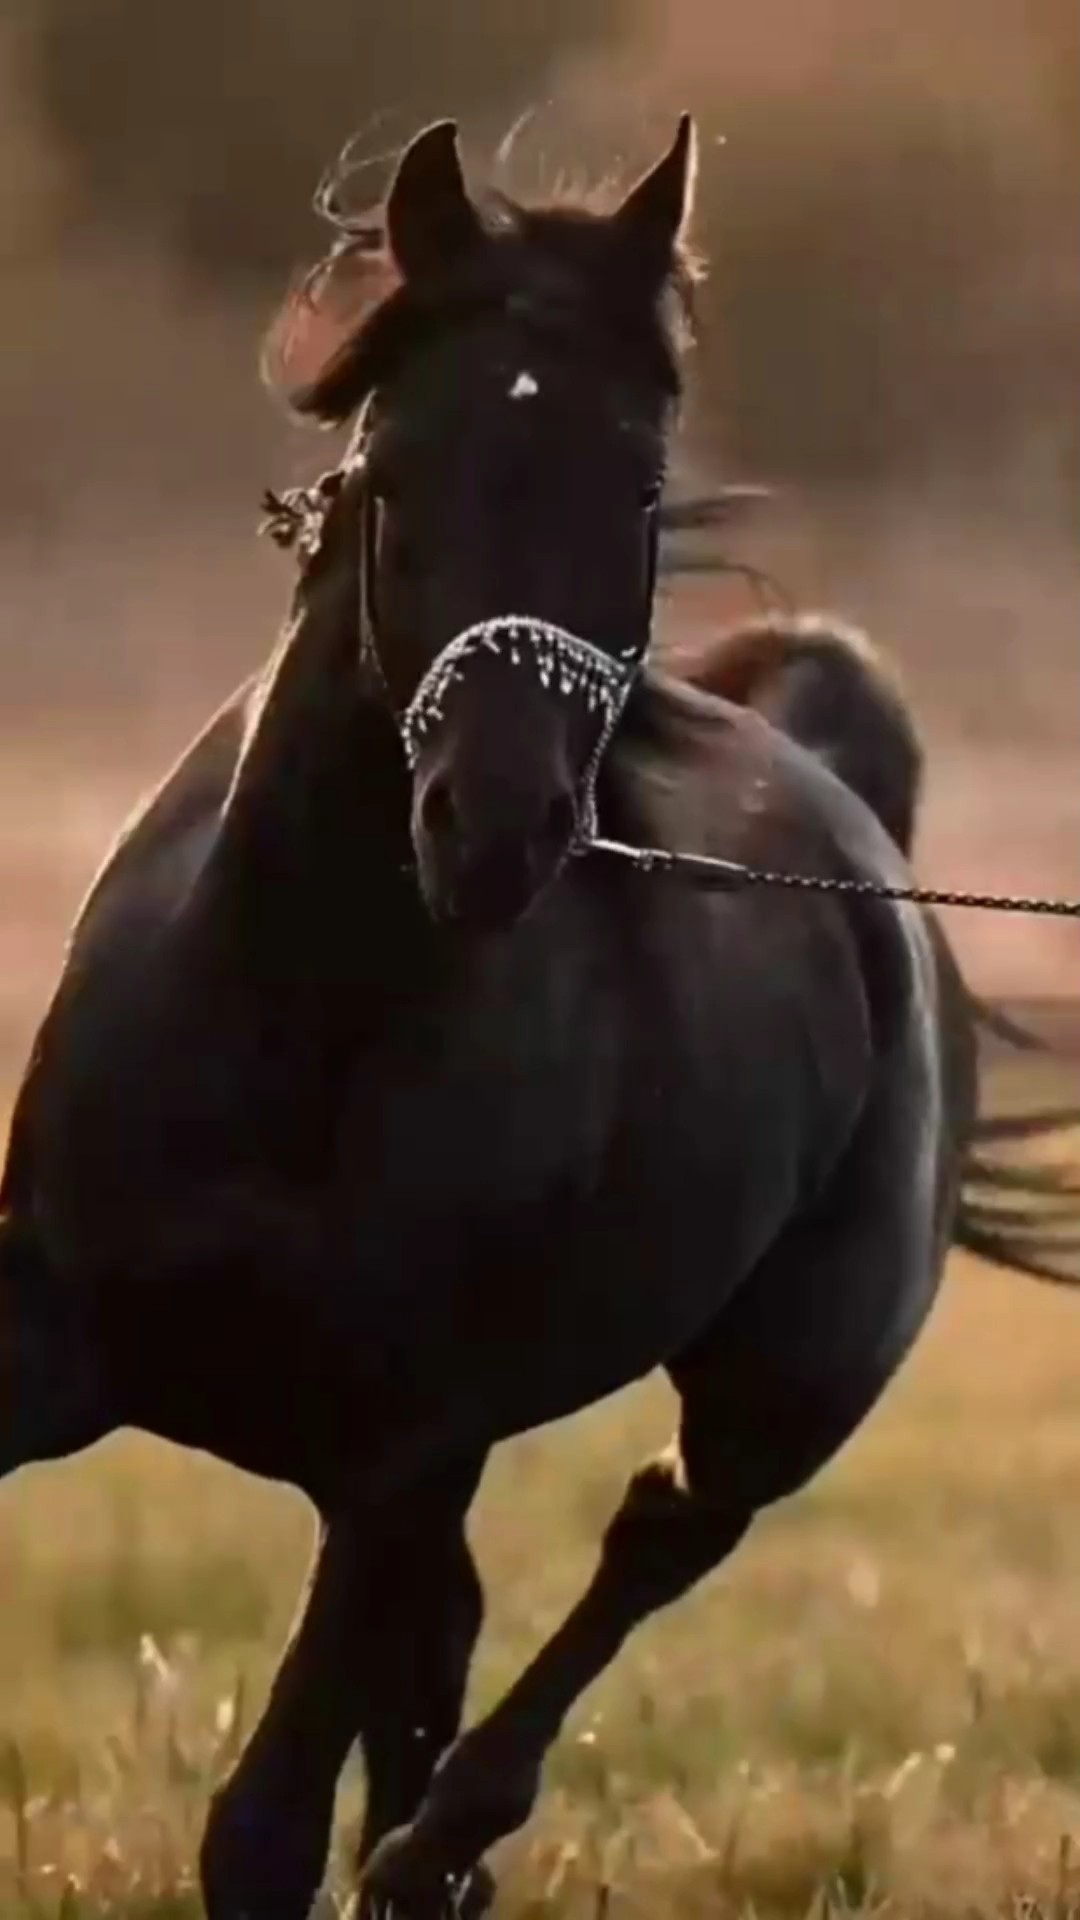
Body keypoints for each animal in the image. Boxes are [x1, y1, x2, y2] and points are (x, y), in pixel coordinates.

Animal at [2, 115, 1077, 1920]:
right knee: (462, 1634)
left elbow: (262, 1829)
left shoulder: (399, 1449)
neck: (294, 1027)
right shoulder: (53, 1346)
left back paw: (441, 1846)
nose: (494, 829)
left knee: (654, 1539)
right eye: (396, 472)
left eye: (636, 482)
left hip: (789, 1380)